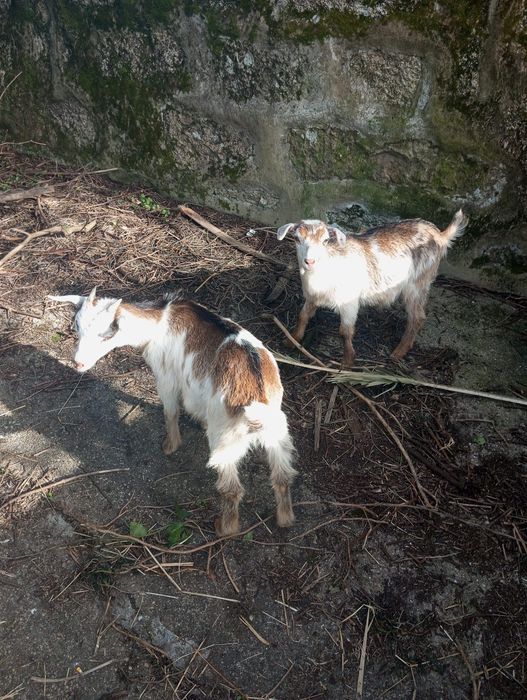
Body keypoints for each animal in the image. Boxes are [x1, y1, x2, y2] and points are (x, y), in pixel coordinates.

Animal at [48, 288, 296, 536]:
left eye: (106, 334)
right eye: (77, 328)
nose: (78, 363)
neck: (159, 322)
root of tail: (257, 395)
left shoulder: (166, 377)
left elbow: (170, 411)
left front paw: (170, 445)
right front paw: (199, 422)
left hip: (225, 439)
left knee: (232, 488)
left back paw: (224, 527)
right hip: (278, 434)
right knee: (283, 476)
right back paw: (285, 519)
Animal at [277, 210, 468, 366]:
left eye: (325, 241)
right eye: (296, 238)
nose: (310, 261)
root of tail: (440, 235)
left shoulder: (349, 302)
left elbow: (345, 332)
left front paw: (347, 363)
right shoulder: (312, 296)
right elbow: (303, 316)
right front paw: (291, 340)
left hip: (418, 283)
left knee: (417, 316)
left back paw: (398, 353)